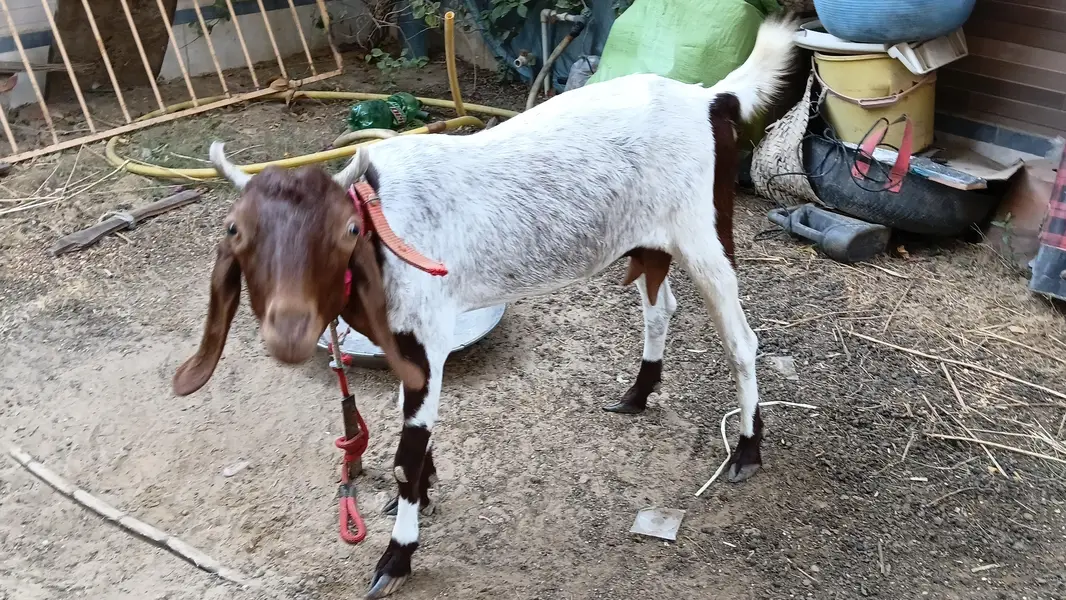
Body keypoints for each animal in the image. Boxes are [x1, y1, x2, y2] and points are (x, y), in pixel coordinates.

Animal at [173, 16, 797, 598]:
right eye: (237, 233)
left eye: (343, 233)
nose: (288, 331)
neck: (381, 228)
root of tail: (708, 98)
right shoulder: (408, 337)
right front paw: (422, 497)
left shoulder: (425, 336)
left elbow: (403, 458)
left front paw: (396, 557)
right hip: (649, 241)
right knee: (660, 305)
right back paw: (638, 393)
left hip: (704, 233)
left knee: (741, 340)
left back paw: (747, 450)